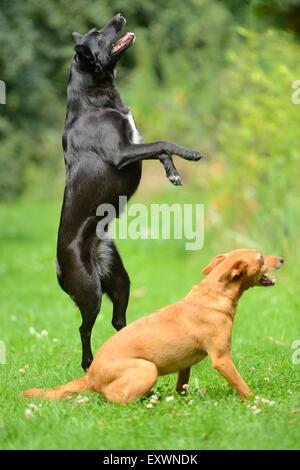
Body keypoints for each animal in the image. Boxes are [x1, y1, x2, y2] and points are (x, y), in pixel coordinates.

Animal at [22, 250, 284, 404]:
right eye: (261, 258)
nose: (282, 259)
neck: (213, 294)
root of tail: (91, 377)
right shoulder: (222, 359)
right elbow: (243, 386)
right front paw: (259, 402)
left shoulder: (185, 364)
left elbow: (182, 386)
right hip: (147, 369)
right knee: (116, 398)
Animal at [56, 13, 202, 370]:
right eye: (98, 34)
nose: (120, 16)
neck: (94, 99)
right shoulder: (123, 152)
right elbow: (164, 142)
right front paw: (189, 155)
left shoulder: (134, 147)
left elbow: (160, 151)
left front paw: (173, 173)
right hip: (90, 290)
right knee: (85, 328)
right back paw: (89, 364)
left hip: (120, 280)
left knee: (117, 321)